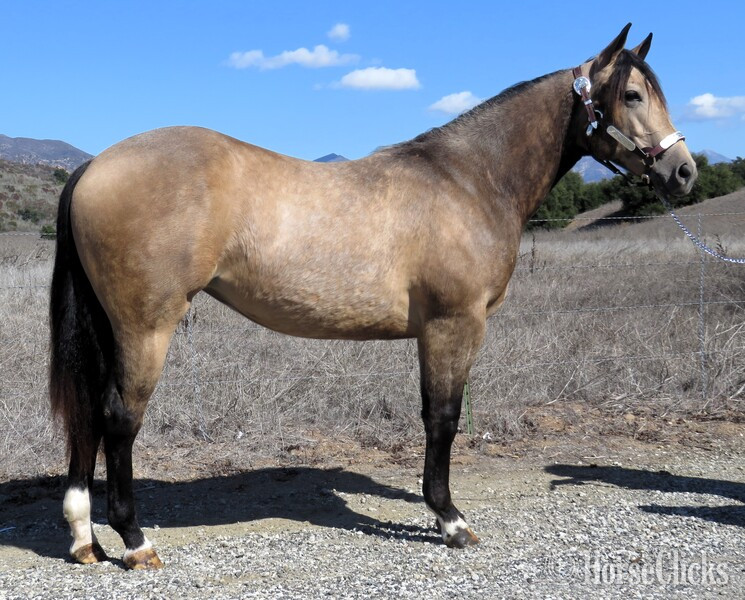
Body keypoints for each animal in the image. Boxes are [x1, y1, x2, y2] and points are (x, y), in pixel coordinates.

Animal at [49, 23, 696, 569]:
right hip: (146, 328)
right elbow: (443, 419)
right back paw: (134, 542)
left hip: (111, 327)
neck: (469, 179)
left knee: (88, 416)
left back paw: (84, 538)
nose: (684, 171)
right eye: (633, 95)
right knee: (118, 418)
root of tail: (95, 166)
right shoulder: (454, 325)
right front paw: (450, 520)